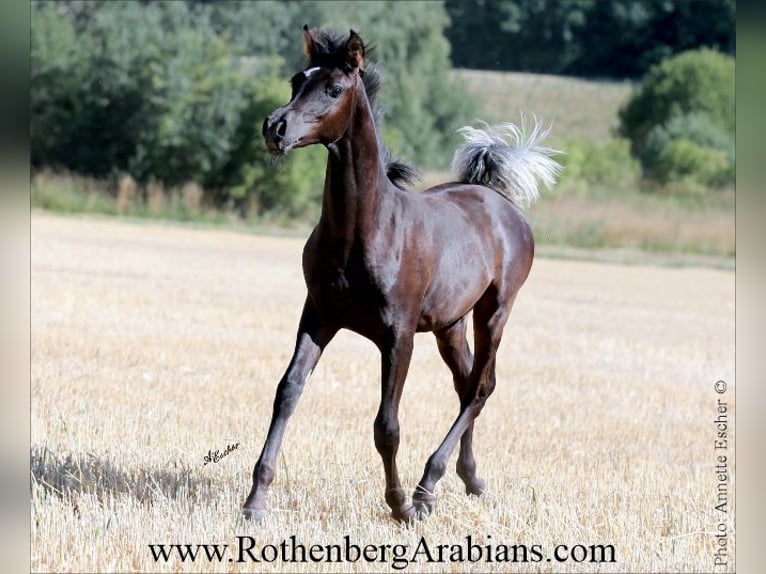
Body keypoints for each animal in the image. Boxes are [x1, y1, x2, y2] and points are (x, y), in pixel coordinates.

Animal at [243, 26, 561, 523]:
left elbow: (386, 423)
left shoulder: (398, 334)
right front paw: (256, 500)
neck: (363, 230)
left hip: (494, 311)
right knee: (466, 383)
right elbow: (288, 392)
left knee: (481, 387)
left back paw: (427, 487)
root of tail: (499, 200)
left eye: (334, 88)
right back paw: (468, 479)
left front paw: (399, 505)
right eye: (297, 80)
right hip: (450, 325)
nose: (275, 128)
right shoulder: (318, 316)